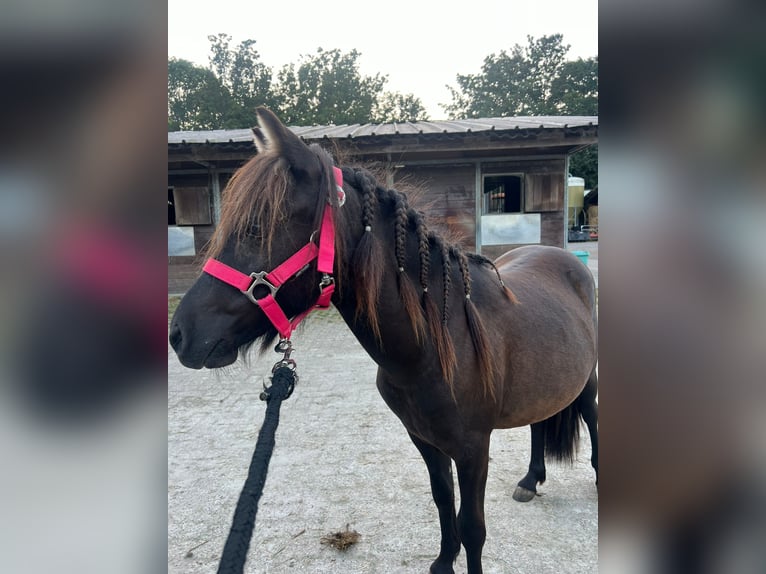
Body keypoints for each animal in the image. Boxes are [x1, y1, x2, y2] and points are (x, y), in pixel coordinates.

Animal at [172, 109, 600, 574]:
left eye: (256, 229)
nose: (179, 334)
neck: (435, 346)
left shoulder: (473, 449)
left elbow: (473, 527)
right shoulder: (424, 439)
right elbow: (442, 501)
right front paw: (443, 562)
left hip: (587, 378)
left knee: (591, 417)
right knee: (541, 420)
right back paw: (530, 480)